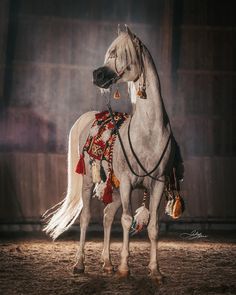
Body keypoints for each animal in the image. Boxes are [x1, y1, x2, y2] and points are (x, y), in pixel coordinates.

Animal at [43, 26, 181, 284]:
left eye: (122, 54)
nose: (97, 74)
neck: (148, 132)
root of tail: (89, 117)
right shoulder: (126, 182)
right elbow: (126, 220)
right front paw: (124, 268)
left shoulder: (157, 182)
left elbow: (153, 226)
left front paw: (155, 271)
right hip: (89, 181)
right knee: (86, 217)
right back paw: (79, 264)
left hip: (114, 188)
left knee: (107, 215)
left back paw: (107, 264)